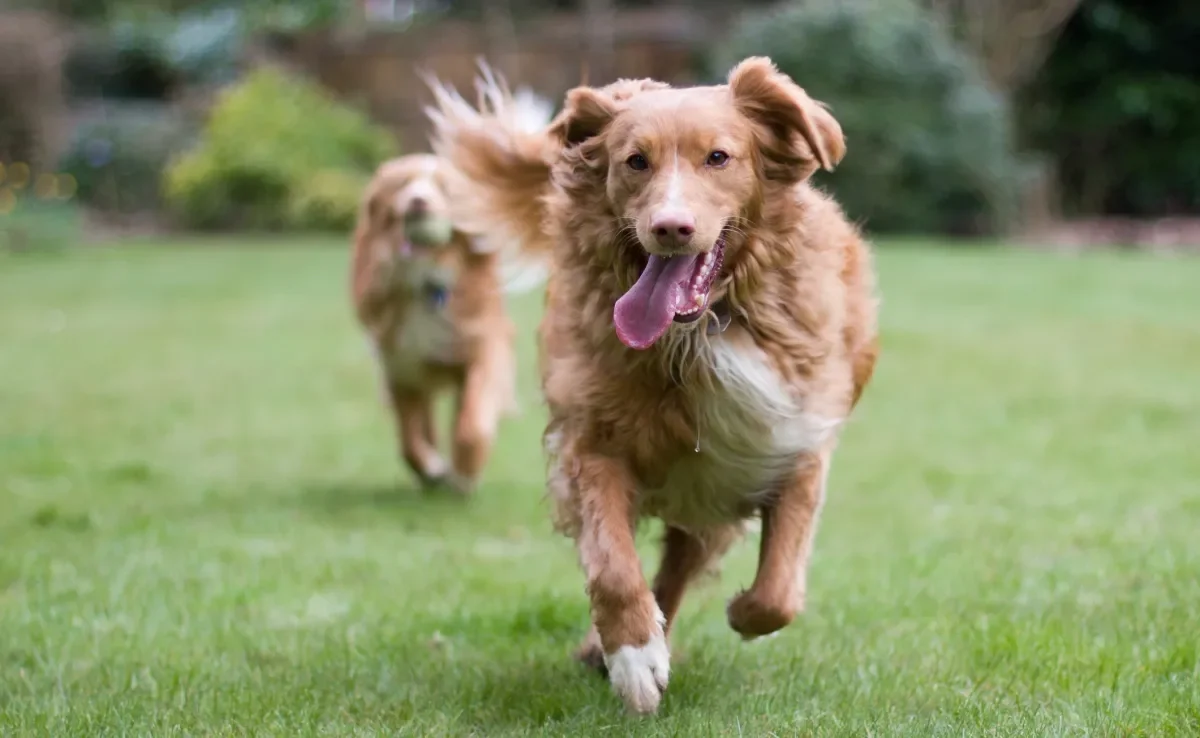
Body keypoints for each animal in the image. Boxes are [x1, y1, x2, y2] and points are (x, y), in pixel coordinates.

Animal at [350, 93, 549, 496]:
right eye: (404, 184)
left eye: (445, 190)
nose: (418, 201)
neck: (427, 278)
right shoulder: (401, 364)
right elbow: (409, 439)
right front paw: (430, 467)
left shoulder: (482, 349)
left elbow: (472, 423)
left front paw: (465, 473)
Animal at [427, 59, 878, 715]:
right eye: (634, 161)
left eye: (718, 157)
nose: (670, 227)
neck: (699, 333)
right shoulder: (591, 444)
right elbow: (614, 569)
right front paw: (635, 657)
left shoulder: (794, 443)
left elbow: (779, 591)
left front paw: (740, 612)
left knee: (683, 567)